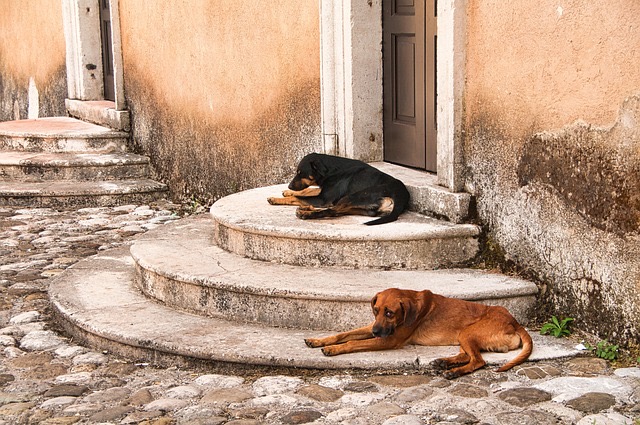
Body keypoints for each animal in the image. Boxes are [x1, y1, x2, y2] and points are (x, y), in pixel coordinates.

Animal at [268, 153, 410, 225]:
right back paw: (306, 208)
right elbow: (308, 190)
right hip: (361, 208)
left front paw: (276, 199)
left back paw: (305, 213)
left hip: (352, 197)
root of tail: (401, 195)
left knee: (330, 211)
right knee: (335, 211)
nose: (289, 186)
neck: (330, 170)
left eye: (300, 173)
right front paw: (288, 192)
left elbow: (297, 197)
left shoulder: (323, 199)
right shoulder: (324, 192)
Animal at [302, 288, 532, 378]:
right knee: (468, 355)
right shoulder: (372, 327)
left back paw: (453, 372)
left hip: (467, 333)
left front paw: (332, 349)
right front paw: (318, 341)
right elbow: (343, 334)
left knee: (478, 361)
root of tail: (515, 322)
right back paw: (444, 362)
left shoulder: (388, 340)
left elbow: (351, 343)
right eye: (376, 310)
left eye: (390, 313)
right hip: (464, 337)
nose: (376, 331)